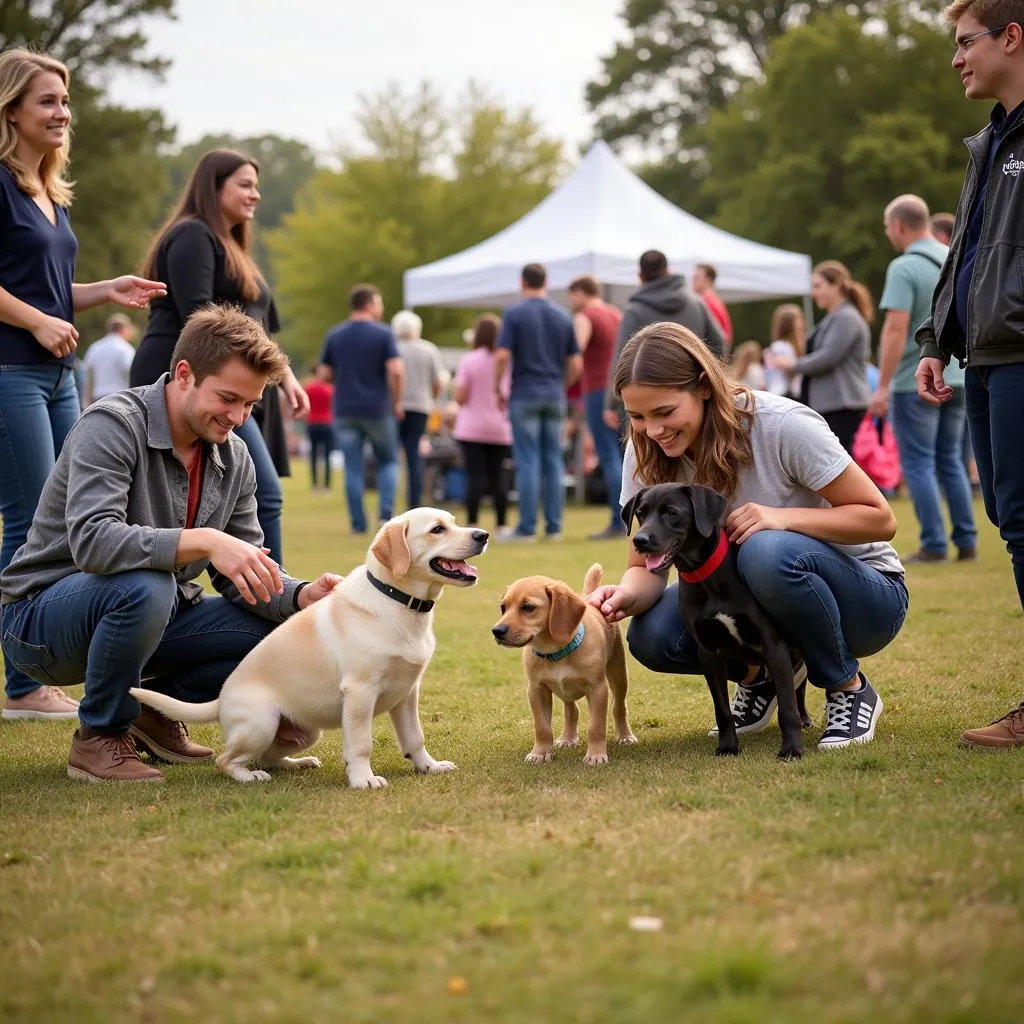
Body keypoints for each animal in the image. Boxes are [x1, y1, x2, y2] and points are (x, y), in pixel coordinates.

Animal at [129, 507, 487, 786]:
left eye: (453, 522)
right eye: (437, 529)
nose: (483, 535)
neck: (398, 602)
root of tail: (221, 699)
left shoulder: (408, 691)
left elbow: (415, 737)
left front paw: (429, 767)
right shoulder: (360, 692)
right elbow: (361, 744)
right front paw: (363, 779)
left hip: (306, 731)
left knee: (267, 758)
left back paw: (298, 764)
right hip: (261, 722)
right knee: (228, 761)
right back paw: (250, 777)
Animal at [491, 565, 634, 765]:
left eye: (528, 607)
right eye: (503, 607)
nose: (496, 631)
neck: (555, 652)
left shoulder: (597, 689)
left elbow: (596, 726)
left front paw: (596, 754)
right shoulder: (536, 690)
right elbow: (542, 727)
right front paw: (540, 753)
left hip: (618, 674)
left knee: (619, 707)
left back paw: (625, 736)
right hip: (564, 690)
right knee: (571, 710)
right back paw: (567, 738)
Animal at [622, 481, 806, 761]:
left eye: (671, 513)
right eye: (641, 514)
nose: (639, 541)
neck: (705, 577)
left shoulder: (773, 645)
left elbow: (787, 707)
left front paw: (792, 748)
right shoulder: (709, 652)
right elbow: (722, 710)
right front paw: (728, 746)